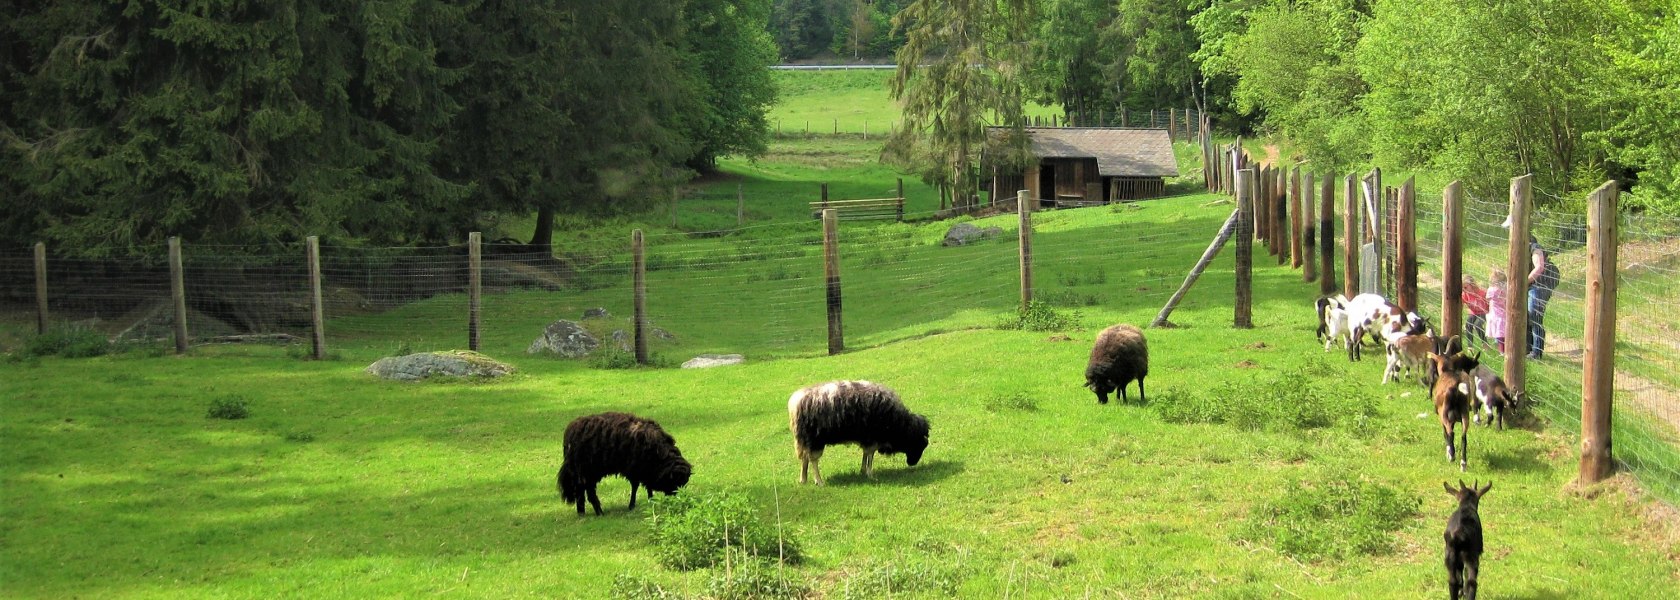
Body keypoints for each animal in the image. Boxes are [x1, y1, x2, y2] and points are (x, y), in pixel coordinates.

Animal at [557, 411, 688, 514]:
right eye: (675, 482)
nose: (676, 501)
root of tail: (569, 433)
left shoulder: (645, 470)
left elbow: (647, 486)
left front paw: (650, 501)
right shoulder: (635, 469)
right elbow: (636, 486)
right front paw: (633, 505)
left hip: (581, 473)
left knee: (580, 491)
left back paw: (582, 513)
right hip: (587, 472)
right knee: (589, 493)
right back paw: (599, 512)